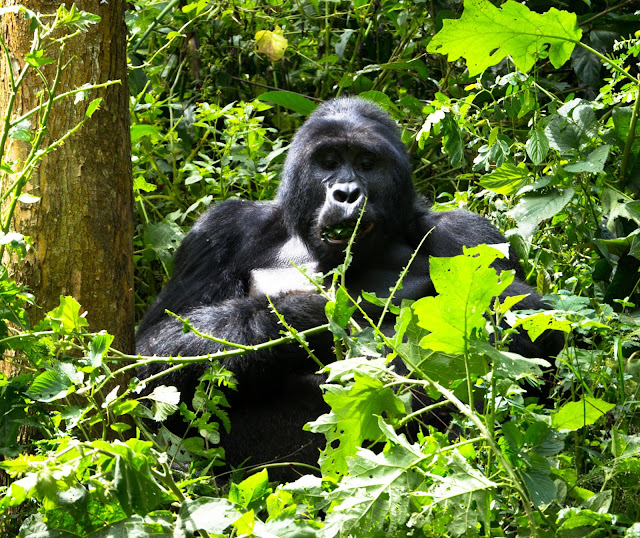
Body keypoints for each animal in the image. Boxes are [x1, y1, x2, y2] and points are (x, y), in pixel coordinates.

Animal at [138, 96, 556, 474]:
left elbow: (531, 333)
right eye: (329, 161)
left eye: (366, 163)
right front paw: (307, 317)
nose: (346, 193)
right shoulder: (221, 230)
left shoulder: (469, 234)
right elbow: (154, 353)